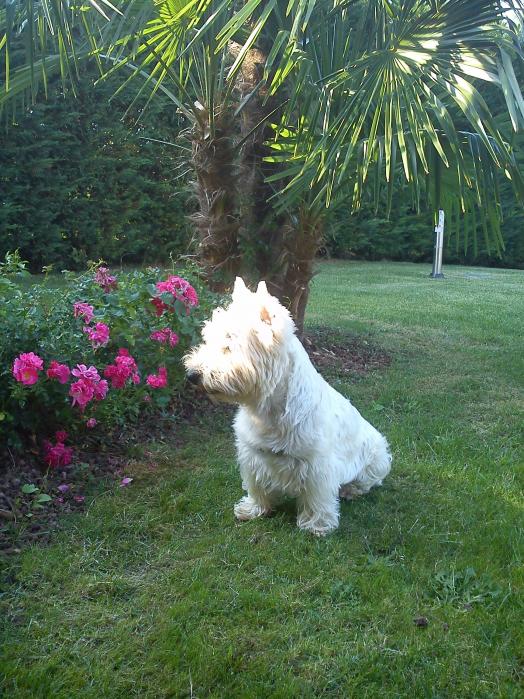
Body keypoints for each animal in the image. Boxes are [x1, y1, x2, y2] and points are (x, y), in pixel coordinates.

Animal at [186, 278, 390, 536]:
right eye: (208, 339)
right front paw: (254, 509)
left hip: (377, 455)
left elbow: (317, 497)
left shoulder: (317, 464)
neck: (267, 409)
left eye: (229, 343)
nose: (192, 375)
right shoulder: (252, 454)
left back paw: (349, 490)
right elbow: (256, 486)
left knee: (368, 481)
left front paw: (316, 525)